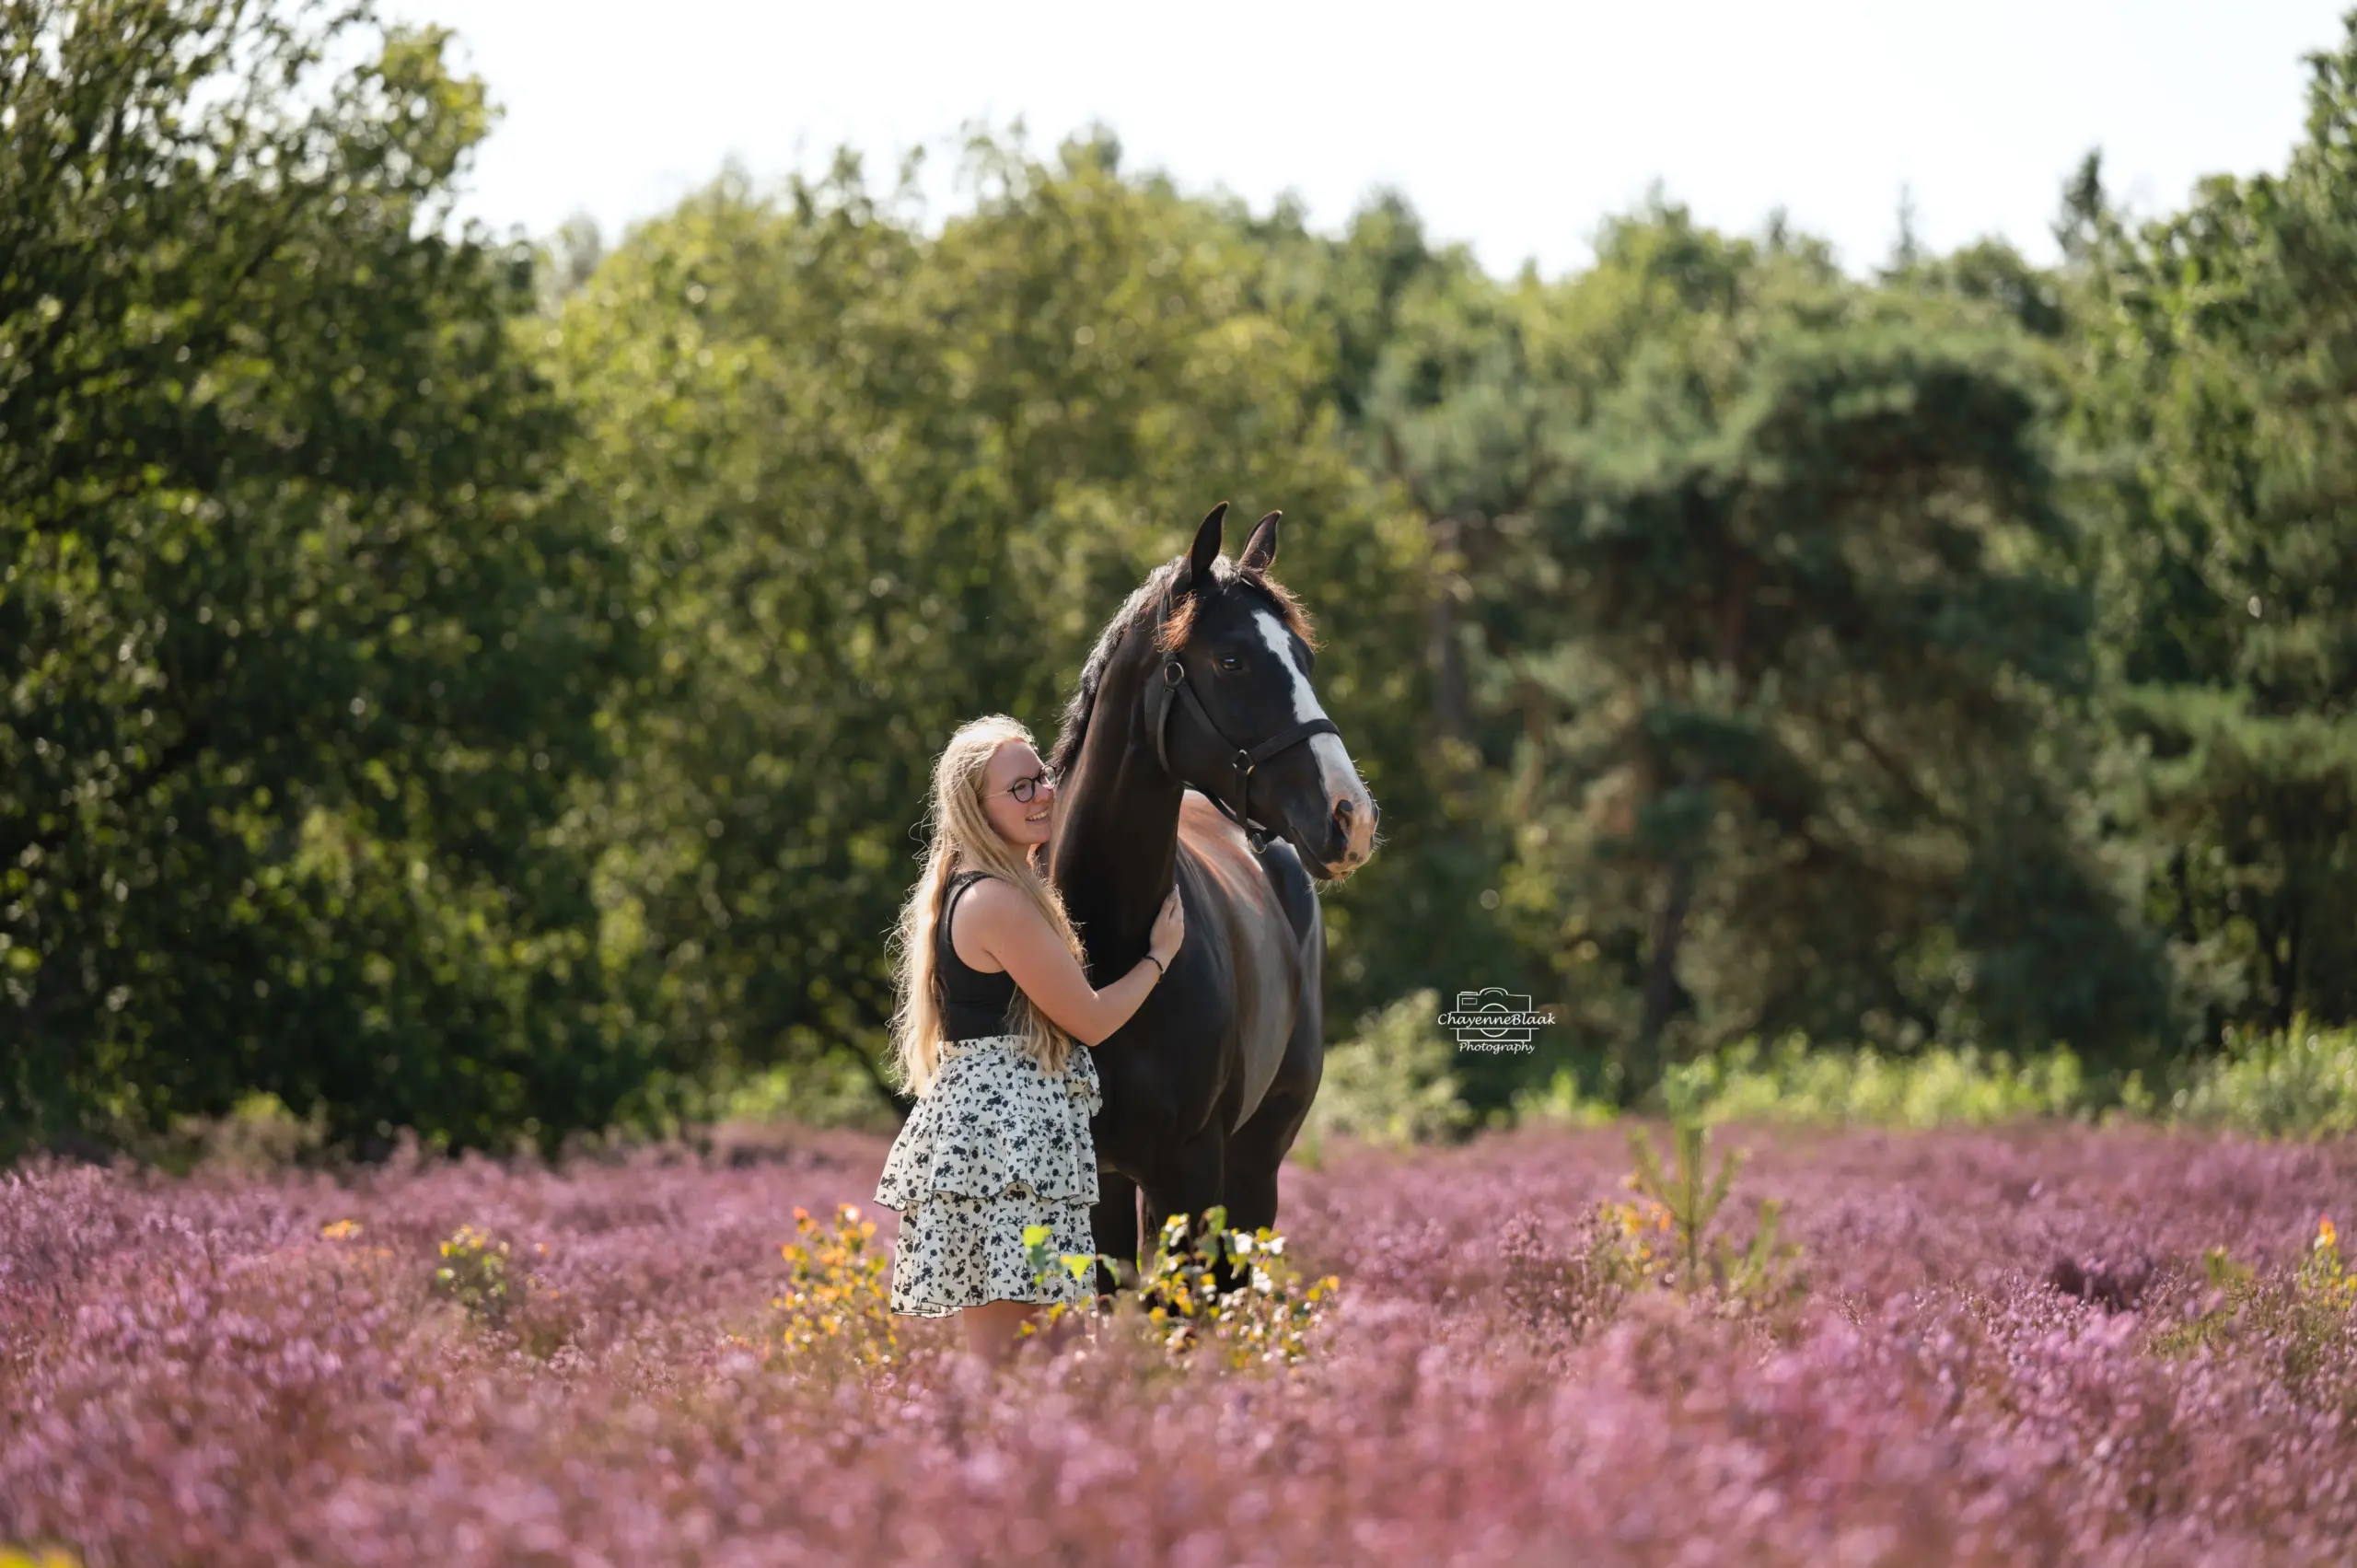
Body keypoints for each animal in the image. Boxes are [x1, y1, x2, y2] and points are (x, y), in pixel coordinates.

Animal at [1051, 505, 1376, 1292]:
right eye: (1232, 660)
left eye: (1305, 658)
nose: (1351, 815)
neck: (1103, 956)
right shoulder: (1094, 1185)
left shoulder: (1191, 1176)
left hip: (1254, 1167)